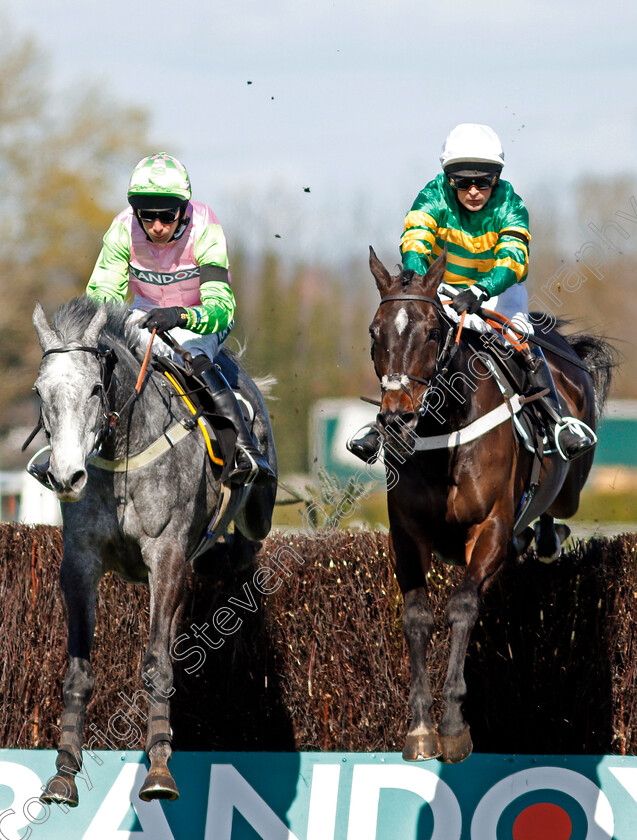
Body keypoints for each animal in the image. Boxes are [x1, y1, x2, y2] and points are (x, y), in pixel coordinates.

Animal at [31, 296, 276, 808]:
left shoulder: (165, 557)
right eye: (40, 391)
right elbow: (78, 670)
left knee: (246, 544)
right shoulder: (80, 561)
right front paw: (64, 771)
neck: (123, 451)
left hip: (255, 508)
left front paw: (160, 767)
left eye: (95, 388)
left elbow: (156, 665)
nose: (66, 477)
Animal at [366, 248, 612, 760]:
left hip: (571, 486)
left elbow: (462, 606)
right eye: (375, 333)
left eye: (432, 332)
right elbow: (416, 616)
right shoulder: (407, 532)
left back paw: (549, 534)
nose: (396, 418)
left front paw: (453, 726)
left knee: (553, 511)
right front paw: (421, 727)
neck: (444, 433)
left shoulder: (491, 526)